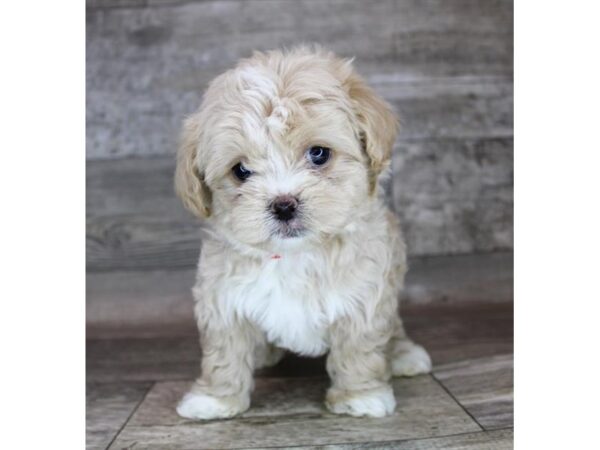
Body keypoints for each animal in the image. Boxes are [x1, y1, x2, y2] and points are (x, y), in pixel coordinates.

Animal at [173, 47, 432, 420]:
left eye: (318, 154)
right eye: (241, 170)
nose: (284, 205)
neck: (295, 254)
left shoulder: (364, 294)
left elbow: (359, 346)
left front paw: (360, 396)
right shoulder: (221, 297)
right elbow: (224, 351)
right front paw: (215, 399)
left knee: (393, 326)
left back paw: (402, 354)